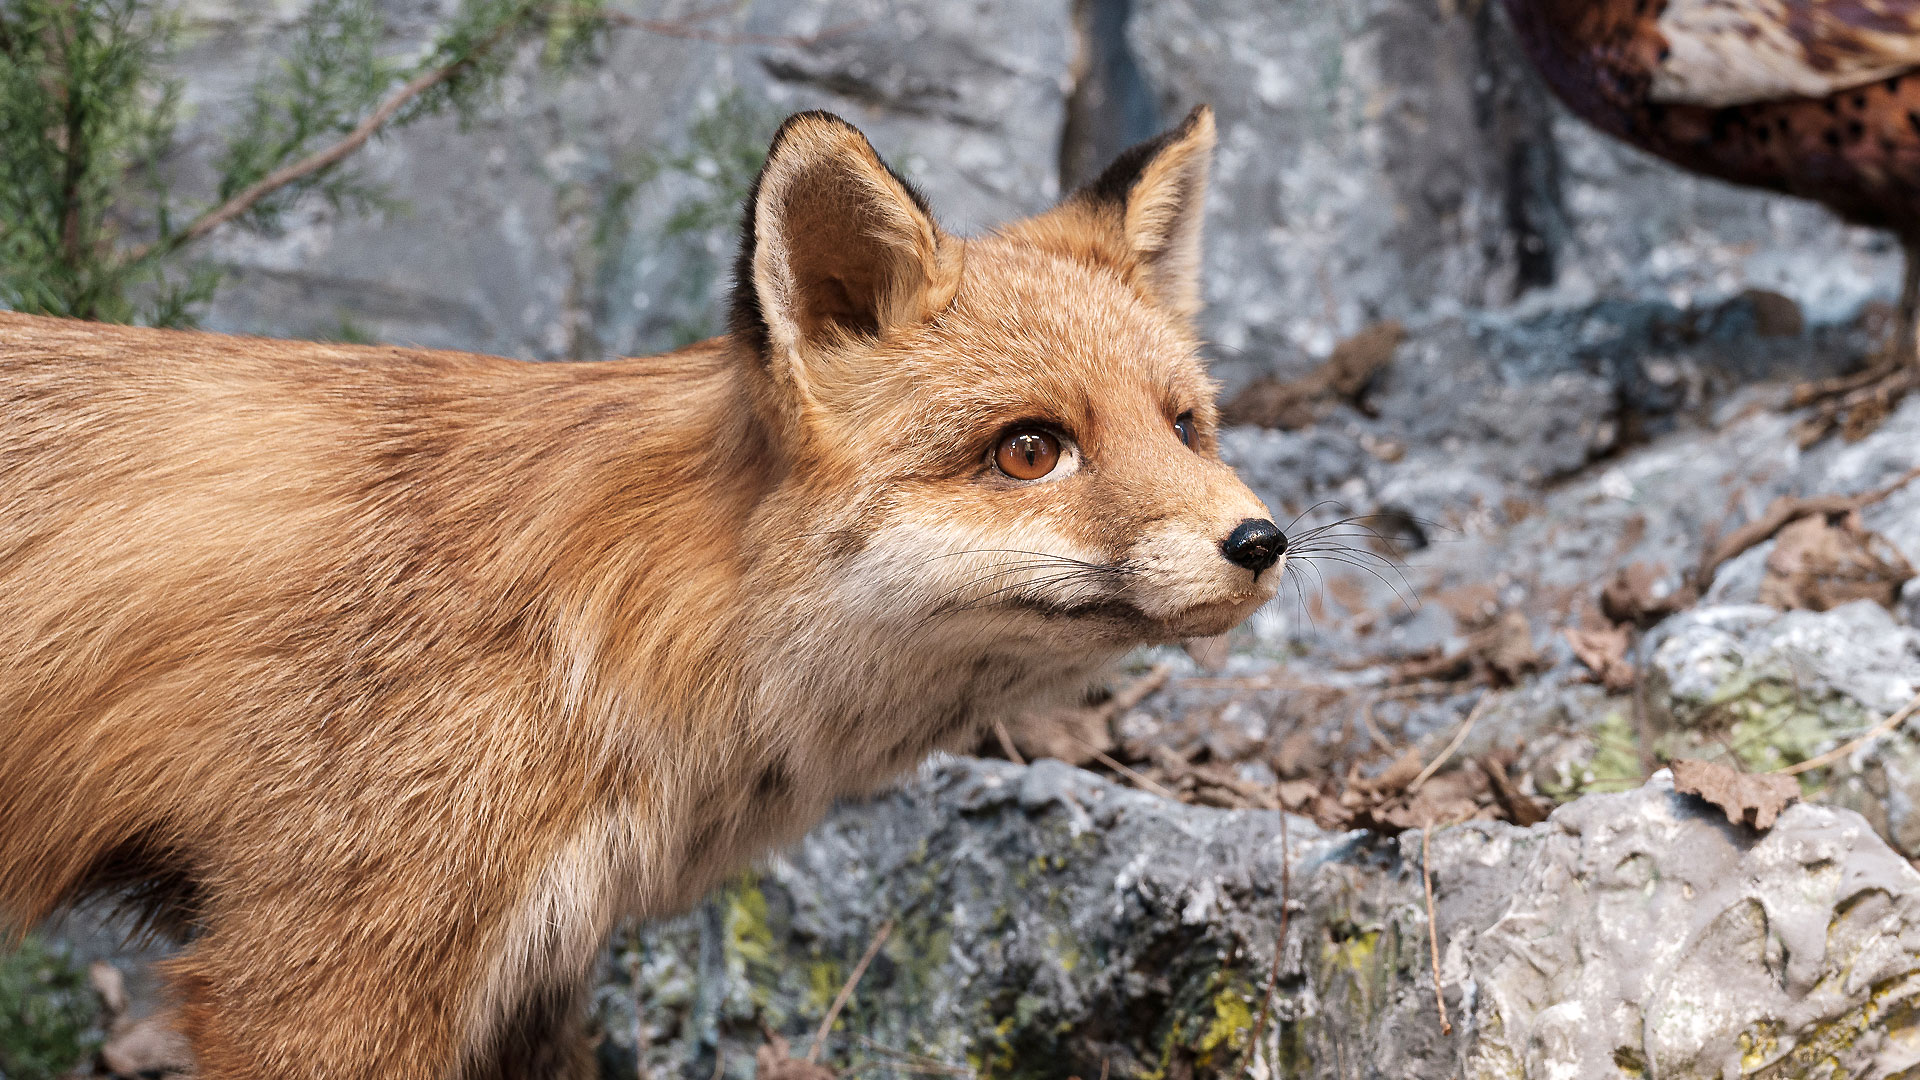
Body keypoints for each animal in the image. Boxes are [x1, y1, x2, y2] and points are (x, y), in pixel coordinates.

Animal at [3, 105, 1290, 1068]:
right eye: (1030, 450)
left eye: (1185, 425)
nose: (1262, 540)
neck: (607, 628)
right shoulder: (316, 971)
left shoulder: (527, 983)